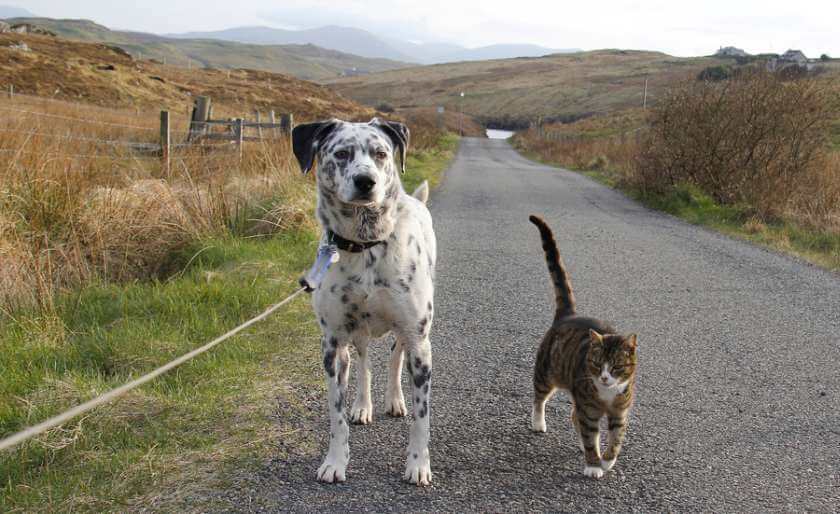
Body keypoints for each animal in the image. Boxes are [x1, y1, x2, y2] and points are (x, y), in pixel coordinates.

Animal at [292, 117, 436, 484]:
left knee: (395, 356)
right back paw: (363, 404)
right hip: (356, 334)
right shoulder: (332, 345)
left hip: (406, 333)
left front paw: (418, 464)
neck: (366, 244)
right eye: (341, 153)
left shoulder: (420, 343)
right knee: (364, 363)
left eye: (381, 153)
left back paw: (394, 400)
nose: (366, 181)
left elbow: (422, 418)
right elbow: (337, 417)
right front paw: (335, 462)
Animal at [528, 213, 640, 476]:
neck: (607, 395)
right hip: (547, 372)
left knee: (573, 415)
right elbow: (590, 433)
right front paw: (593, 465)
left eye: (617, 367)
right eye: (598, 364)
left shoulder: (620, 412)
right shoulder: (588, 408)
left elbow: (616, 438)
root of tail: (568, 314)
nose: (605, 378)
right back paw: (538, 422)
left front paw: (607, 460)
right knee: (540, 397)